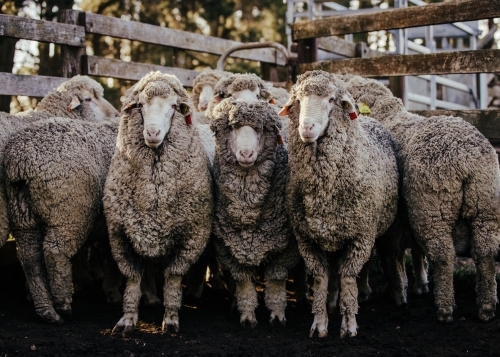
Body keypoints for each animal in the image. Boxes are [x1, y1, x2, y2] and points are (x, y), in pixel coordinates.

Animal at [103, 71, 213, 332]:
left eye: (173, 107)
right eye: (140, 105)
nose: (152, 133)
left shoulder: (191, 237)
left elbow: (173, 278)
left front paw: (171, 318)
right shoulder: (122, 235)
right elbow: (133, 278)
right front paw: (128, 318)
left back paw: (194, 292)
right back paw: (151, 297)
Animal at [209, 98, 298, 326]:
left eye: (260, 129)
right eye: (232, 127)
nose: (246, 154)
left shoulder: (284, 246)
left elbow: (276, 280)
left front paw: (277, 314)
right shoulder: (230, 246)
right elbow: (244, 283)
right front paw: (247, 315)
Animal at [280, 70, 400, 336]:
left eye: (332, 100)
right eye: (298, 101)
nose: (306, 127)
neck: (323, 192)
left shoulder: (361, 235)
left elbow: (348, 276)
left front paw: (349, 325)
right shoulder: (307, 239)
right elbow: (321, 278)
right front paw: (319, 323)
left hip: (377, 228)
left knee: (369, 264)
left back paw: (368, 293)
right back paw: (333, 302)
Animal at [344, 74, 500, 322]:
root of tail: (467, 158)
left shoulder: (387, 217)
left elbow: (387, 254)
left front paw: (386, 290)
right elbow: (412, 251)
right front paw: (418, 285)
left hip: (432, 207)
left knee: (444, 255)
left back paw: (444, 309)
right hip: (484, 204)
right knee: (485, 251)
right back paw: (486, 307)